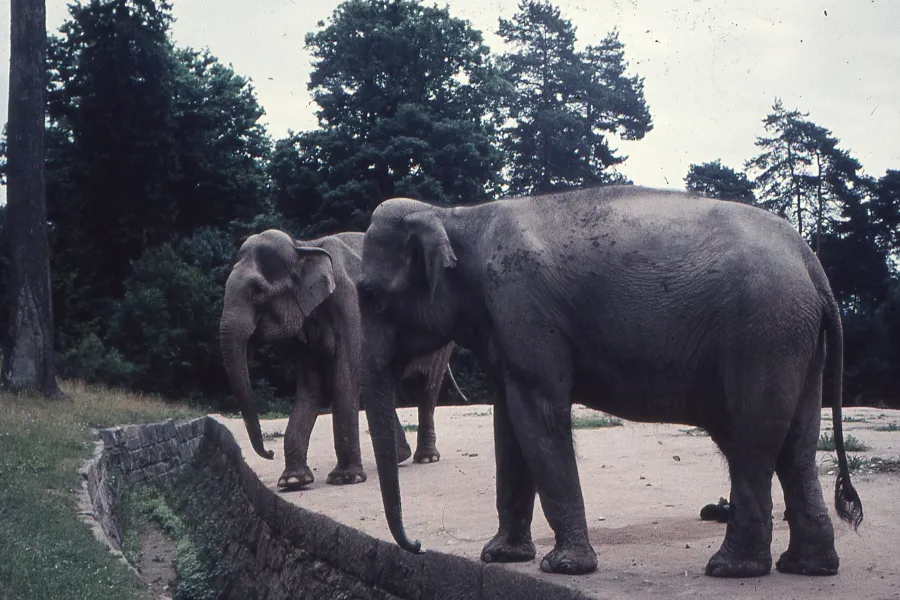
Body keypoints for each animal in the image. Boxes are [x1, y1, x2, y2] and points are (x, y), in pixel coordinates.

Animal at [219, 229, 465, 490]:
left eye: (257, 292)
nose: (269, 453)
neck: (304, 246)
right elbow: (310, 390)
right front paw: (293, 481)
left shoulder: (350, 305)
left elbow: (345, 379)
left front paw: (345, 479)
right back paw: (400, 457)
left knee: (427, 388)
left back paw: (426, 458)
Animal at [355, 185, 863, 577]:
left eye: (371, 297)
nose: (417, 546)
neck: (455, 216)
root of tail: (812, 264)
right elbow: (509, 425)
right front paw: (501, 557)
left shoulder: (522, 306)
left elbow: (539, 415)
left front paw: (563, 567)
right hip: (793, 338)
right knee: (794, 447)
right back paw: (808, 567)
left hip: (762, 335)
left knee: (753, 439)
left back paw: (730, 569)